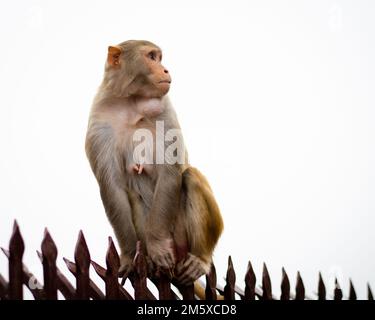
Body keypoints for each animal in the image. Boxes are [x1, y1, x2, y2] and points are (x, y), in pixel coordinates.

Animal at [86, 40, 223, 284]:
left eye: (159, 57)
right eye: (152, 57)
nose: (166, 69)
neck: (131, 102)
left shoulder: (164, 107)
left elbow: (170, 171)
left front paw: (158, 246)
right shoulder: (99, 122)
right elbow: (112, 187)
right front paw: (129, 256)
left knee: (190, 176)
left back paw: (200, 258)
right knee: (132, 194)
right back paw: (147, 260)